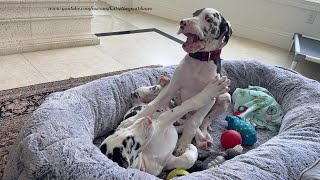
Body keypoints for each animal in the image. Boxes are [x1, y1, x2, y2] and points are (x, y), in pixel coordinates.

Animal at [99, 75, 230, 175]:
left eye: (123, 131)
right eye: (131, 143)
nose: (147, 119)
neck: (145, 158)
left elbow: (189, 104)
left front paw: (210, 91)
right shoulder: (167, 161)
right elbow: (186, 160)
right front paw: (190, 149)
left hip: (140, 94)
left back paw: (164, 83)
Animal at [120, 7, 232, 153]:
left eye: (209, 19)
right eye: (194, 14)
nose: (183, 22)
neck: (199, 61)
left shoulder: (209, 101)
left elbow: (194, 122)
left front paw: (184, 143)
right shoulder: (173, 87)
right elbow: (152, 105)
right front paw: (132, 121)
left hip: (225, 97)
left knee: (203, 122)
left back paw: (203, 137)